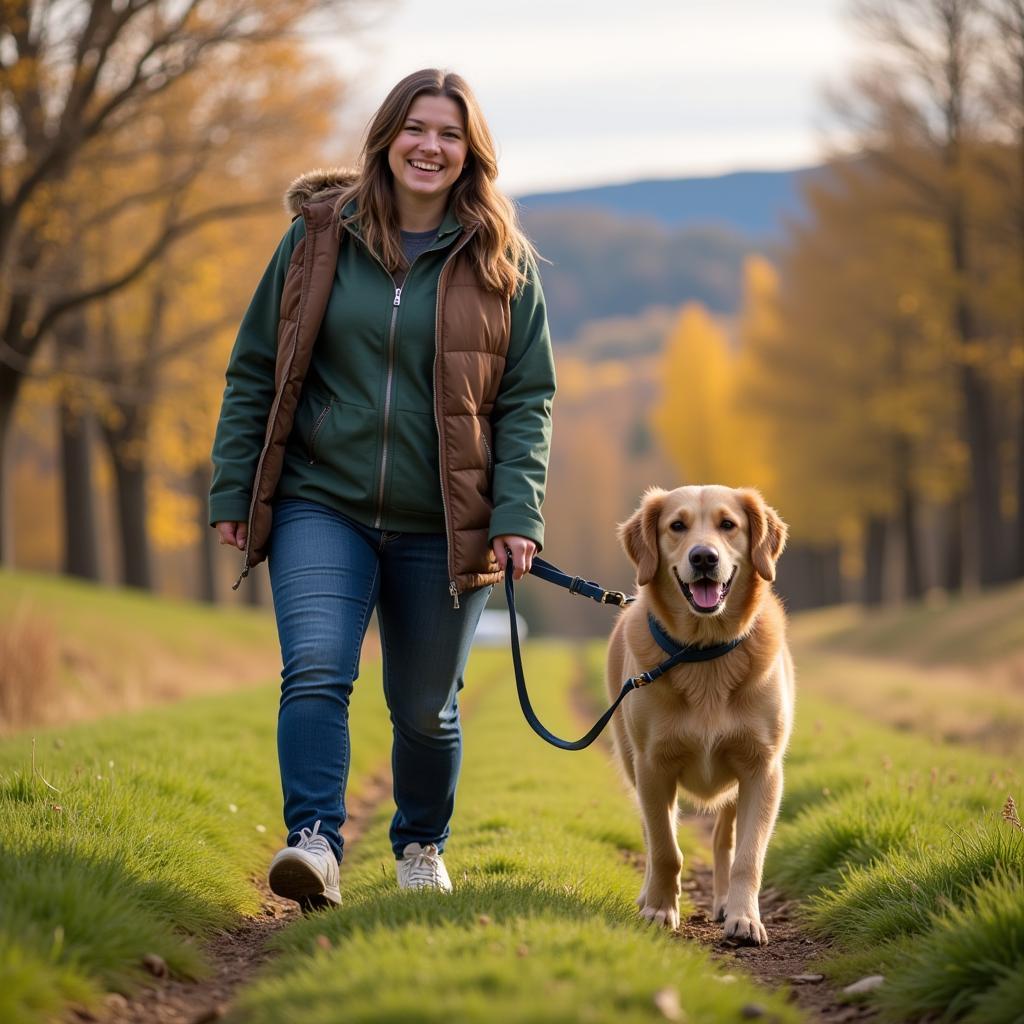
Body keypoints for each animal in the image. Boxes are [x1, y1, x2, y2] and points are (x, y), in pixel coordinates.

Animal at [602, 485, 794, 942]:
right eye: (677, 526)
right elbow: (665, 848)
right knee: (652, 833)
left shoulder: (763, 768)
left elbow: (747, 856)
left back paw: (725, 904)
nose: (704, 557)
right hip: (632, 763)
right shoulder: (653, 766)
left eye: (728, 524)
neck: (705, 652)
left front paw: (746, 918)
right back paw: (648, 895)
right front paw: (659, 910)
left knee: (724, 838)